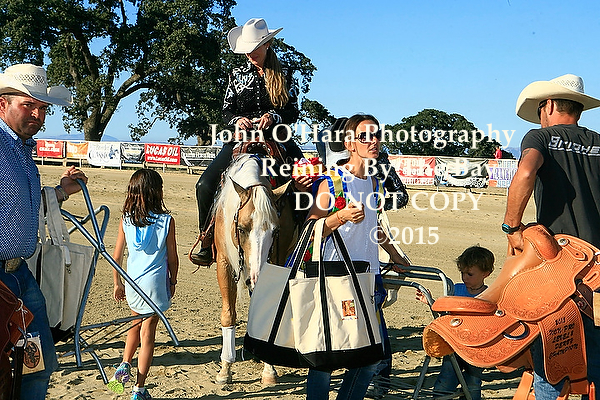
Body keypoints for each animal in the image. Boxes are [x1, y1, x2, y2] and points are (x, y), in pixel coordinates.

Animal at [212, 153, 297, 384]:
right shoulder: (224, 263)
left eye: (275, 232)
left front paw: (269, 370)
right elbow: (228, 314)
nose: (255, 278)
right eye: (241, 228)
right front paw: (225, 369)